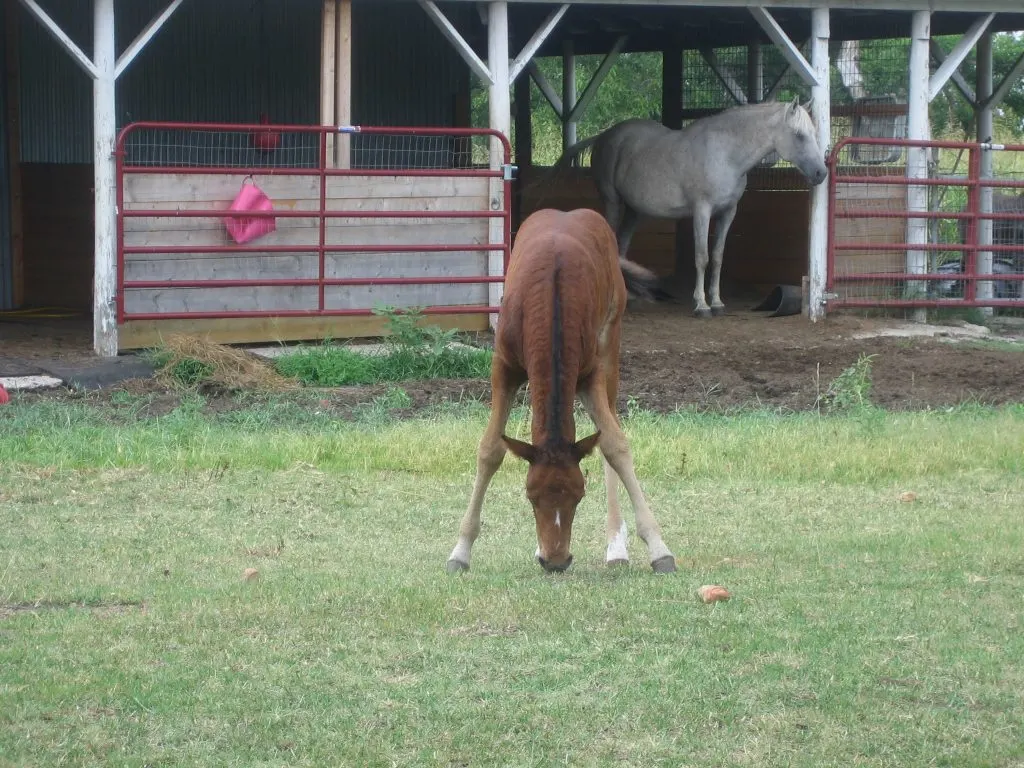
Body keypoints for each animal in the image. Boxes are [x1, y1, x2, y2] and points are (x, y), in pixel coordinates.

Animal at [444, 207, 675, 573]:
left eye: (579, 495)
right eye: (530, 495)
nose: (555, 561)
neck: (550, 301)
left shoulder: (591, 373)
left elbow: (615, 445)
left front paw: (658, 547)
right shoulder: (503, 366)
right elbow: (490, 449)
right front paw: (460, 551)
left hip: (611, 340)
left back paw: (616, 548)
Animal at [557, 98, 827, 315]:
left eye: (814, 133)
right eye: (799, 135)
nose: (821, 173)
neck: (726, 154)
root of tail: (606, 135)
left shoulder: (728, 213)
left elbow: (717, 257)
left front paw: (717, 303)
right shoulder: (702, 211)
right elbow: (702, 257)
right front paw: (701, 305)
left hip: (634, 211)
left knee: (622, 245)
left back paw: (630, 297)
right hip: (612, 201)